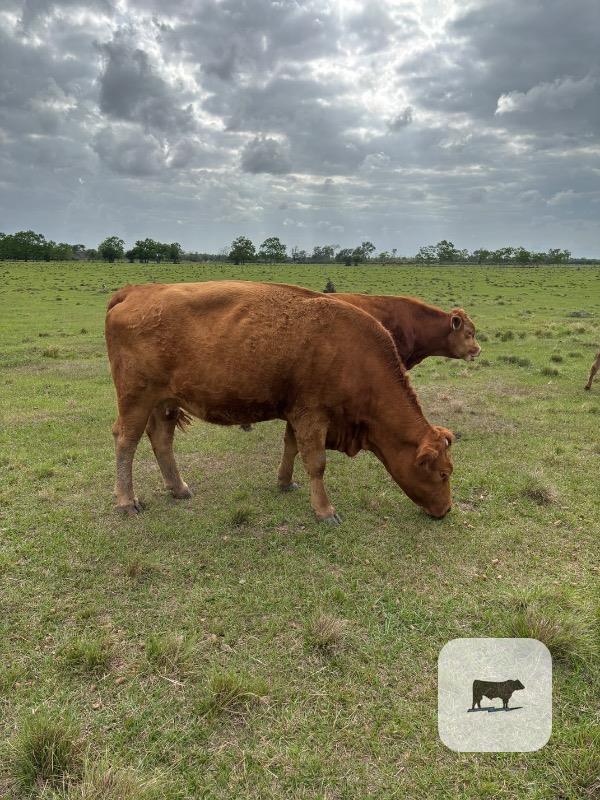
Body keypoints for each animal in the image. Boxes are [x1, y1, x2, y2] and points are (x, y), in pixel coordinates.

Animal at [105, 281, 454, 523]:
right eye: (442, 474)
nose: (447, 509)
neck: (354, 354)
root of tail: (135, 291)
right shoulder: (314, 416)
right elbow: (316, 462)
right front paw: (325, 512)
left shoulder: (296, 413)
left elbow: (291, 447)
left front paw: (285, 483)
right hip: (136, 400)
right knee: (126, 441)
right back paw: (126, 503)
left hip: (165, 402)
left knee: (161, 439)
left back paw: (179, 489)